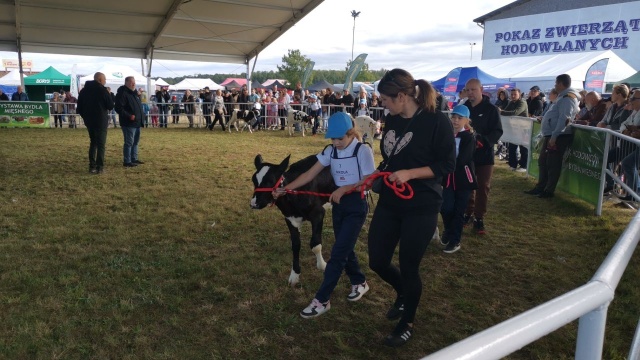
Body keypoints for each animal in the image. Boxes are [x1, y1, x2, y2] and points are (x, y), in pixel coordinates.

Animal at [251, 154, 340, 286]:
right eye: (253, 180)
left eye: (270, 181)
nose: (254, 203)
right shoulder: (290, 219)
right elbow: (295, 245)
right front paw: (295, 274)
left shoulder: (318, 213)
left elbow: (315, 244)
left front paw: (322, 265)